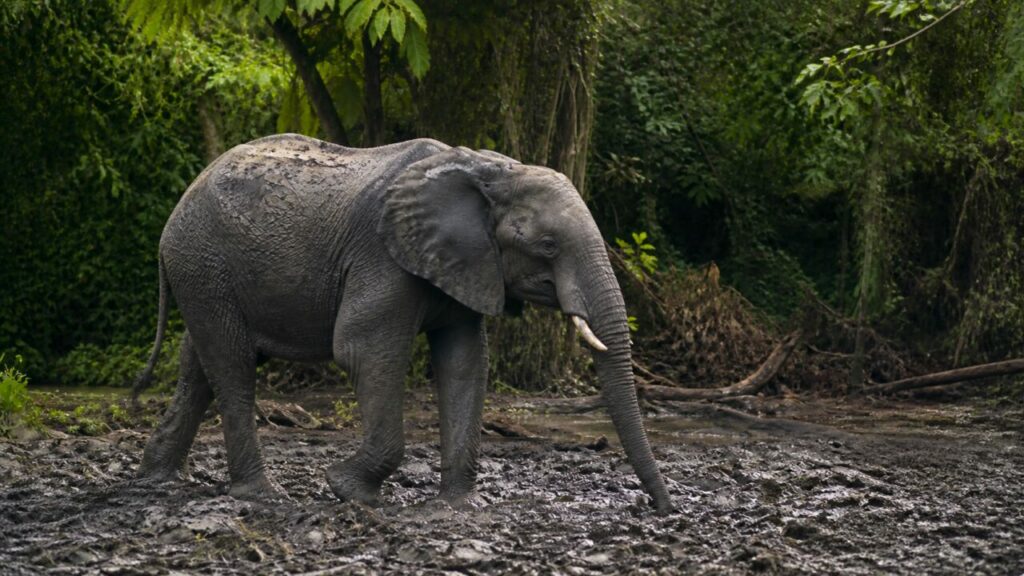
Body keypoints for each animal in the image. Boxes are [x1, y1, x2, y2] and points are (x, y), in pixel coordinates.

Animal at [132, 133, 672, 514]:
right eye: (548, 246)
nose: (659, 507)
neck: (491, 170)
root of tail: (178, 208)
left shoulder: (465, 264)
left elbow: (464, 363)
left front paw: (458, 506)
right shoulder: (382, 256)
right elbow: (362, 347)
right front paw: (348, 491)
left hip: (205, 274)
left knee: (199, 366)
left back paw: (157, 479)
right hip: (204, 263)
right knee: (233, 365)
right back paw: (261, 495)